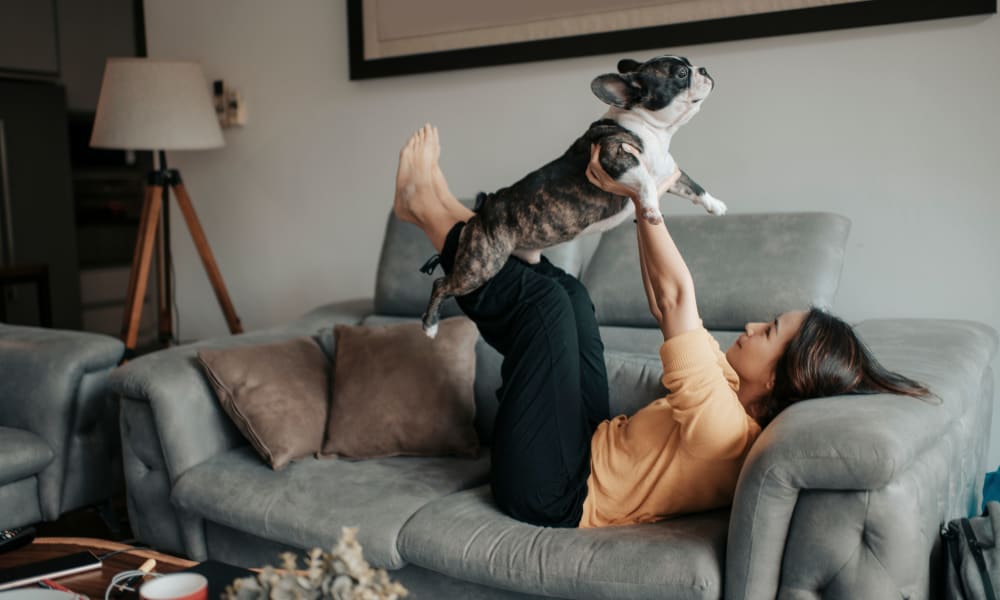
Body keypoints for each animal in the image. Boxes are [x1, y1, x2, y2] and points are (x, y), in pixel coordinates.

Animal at [418, 54, 724, 338]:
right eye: (681, 73)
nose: (704, 69)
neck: (652, 130)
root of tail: (481, 211)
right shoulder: (614, 156)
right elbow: (645, 179)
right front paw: (650, 208)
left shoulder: (668, 172)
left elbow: (693, 186)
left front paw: (716, 205)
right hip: (481, 265)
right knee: (442, 284)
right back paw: (430, 326)